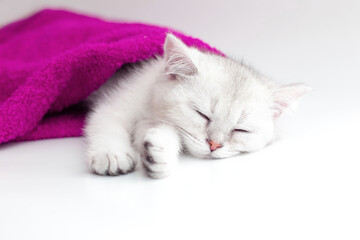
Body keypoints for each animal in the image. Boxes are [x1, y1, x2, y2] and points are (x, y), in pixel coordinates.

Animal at [83, 33, 310, 178]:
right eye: (202, 115)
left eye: (241, 130)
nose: (214, 145)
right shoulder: (121, 98)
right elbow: (107, 122)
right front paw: (111, 154)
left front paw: (159, 153)